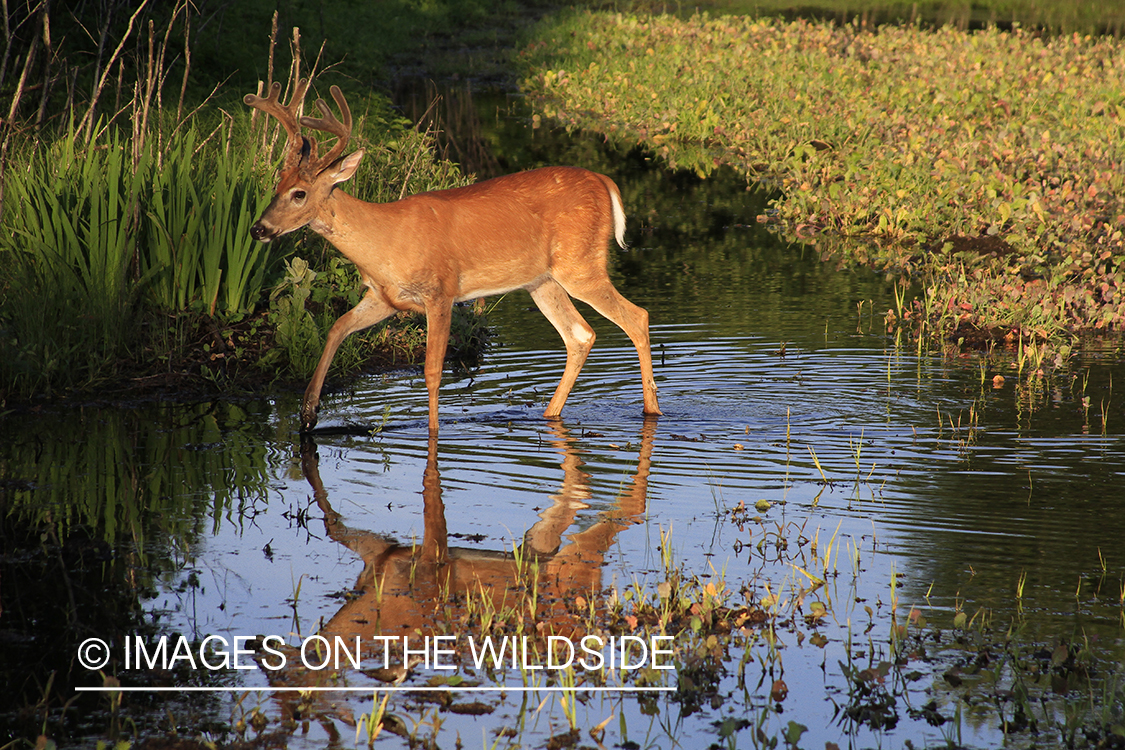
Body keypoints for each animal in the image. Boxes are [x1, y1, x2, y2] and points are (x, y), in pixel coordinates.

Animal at [244, 78, 657, 431]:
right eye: (276, 185)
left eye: (299, 193)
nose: (258, 229)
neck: (384, 240)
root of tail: (605, 182)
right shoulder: (384, 297)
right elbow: (336, 327)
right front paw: (308, 413)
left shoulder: (440, 291)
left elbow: (431, 370)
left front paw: (432, 432)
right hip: (542, 281)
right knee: (580, 334)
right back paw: (550, 415)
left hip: (579, 263)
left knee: (635, 316)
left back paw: (651, 411)